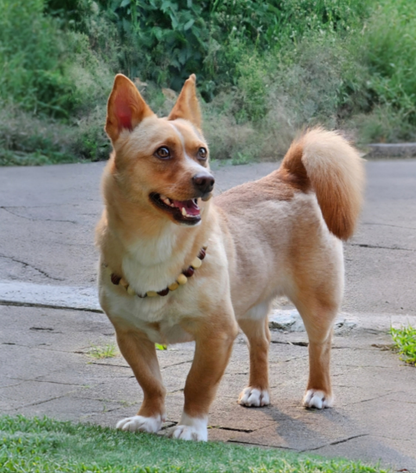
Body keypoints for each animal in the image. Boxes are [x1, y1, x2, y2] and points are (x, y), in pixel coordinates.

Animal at [96, 73, 364, 438]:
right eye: (163, 152)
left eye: (202, 153)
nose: (207, 180)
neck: (156, 242)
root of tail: (289, 175)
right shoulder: (130, 337)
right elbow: (151, 382)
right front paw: (148, 418)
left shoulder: (217, 334)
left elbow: (197, 384)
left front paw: (192, 426)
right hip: (249, 308)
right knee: (261, 343)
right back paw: (259, 390)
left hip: (317, 305)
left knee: (319, 346)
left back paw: (319, 392)